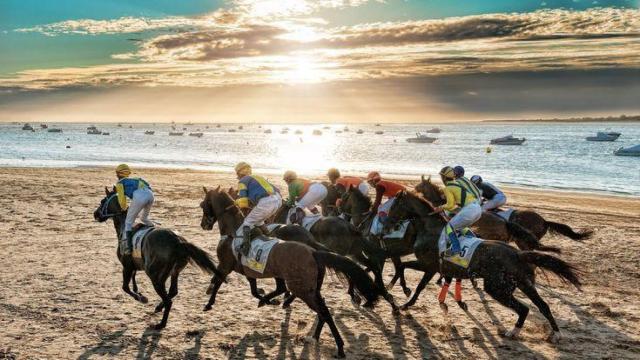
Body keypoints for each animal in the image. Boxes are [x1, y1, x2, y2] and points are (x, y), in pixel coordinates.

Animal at [94, 187, 224, 330]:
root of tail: (178, 242)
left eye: (102, 201)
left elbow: (125, 287)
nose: (95, 214)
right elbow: (133, 280)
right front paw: (139, 292)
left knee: (168, 299)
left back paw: (161, 323)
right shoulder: (134, 266)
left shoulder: (126, 266)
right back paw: (158, 308)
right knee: (173, 292)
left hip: (155, 276)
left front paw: (142, 298)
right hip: (174, 271)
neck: (124, 227)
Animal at [198, 186, 382, 358]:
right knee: (321, 307)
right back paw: (314, 334)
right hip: (312, 285)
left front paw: (208, 303)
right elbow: (253, 290)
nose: (204, 224)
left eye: (203, 203)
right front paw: (266, 299)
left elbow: (218, 281)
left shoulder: (225, 265)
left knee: (322, 310)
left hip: (302, 288)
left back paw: (339, 346)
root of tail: (313, 251)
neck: (233, 231)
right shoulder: (249, 271)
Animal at [382, 190, 584, 342]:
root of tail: (517, 254)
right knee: (542, 305)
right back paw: (555, 334)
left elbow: (412, 278)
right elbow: (418, 278)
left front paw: (402, 296)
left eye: (393, 206)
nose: (386, 225)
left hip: (497, 287)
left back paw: (513, 332)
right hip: (523, 283)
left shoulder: (429, 266)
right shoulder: (441, 269)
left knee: (524, 308)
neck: (430, 229)